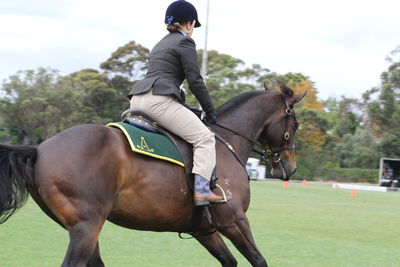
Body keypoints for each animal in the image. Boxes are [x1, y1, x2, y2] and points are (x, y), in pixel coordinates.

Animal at [0, 84, 306, 267]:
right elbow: (258, 260)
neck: (225, 141)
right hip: (87, 226)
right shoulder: (235, 221)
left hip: (83, 228)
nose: (290, 168)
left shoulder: (203, 229)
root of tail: (40, 148)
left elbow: (229, 261)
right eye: (295, 124)